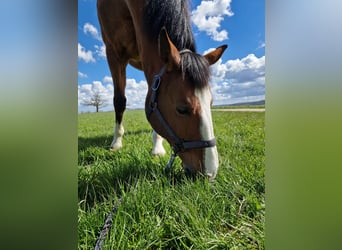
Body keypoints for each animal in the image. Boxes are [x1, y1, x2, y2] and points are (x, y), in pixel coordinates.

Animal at [97, 0, 228, 180]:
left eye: (211, 103)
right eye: (181, 109)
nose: (210, 172)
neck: (125, 5)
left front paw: (157, 147)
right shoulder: (114, 53)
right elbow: (119, 101)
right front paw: (116, 142)